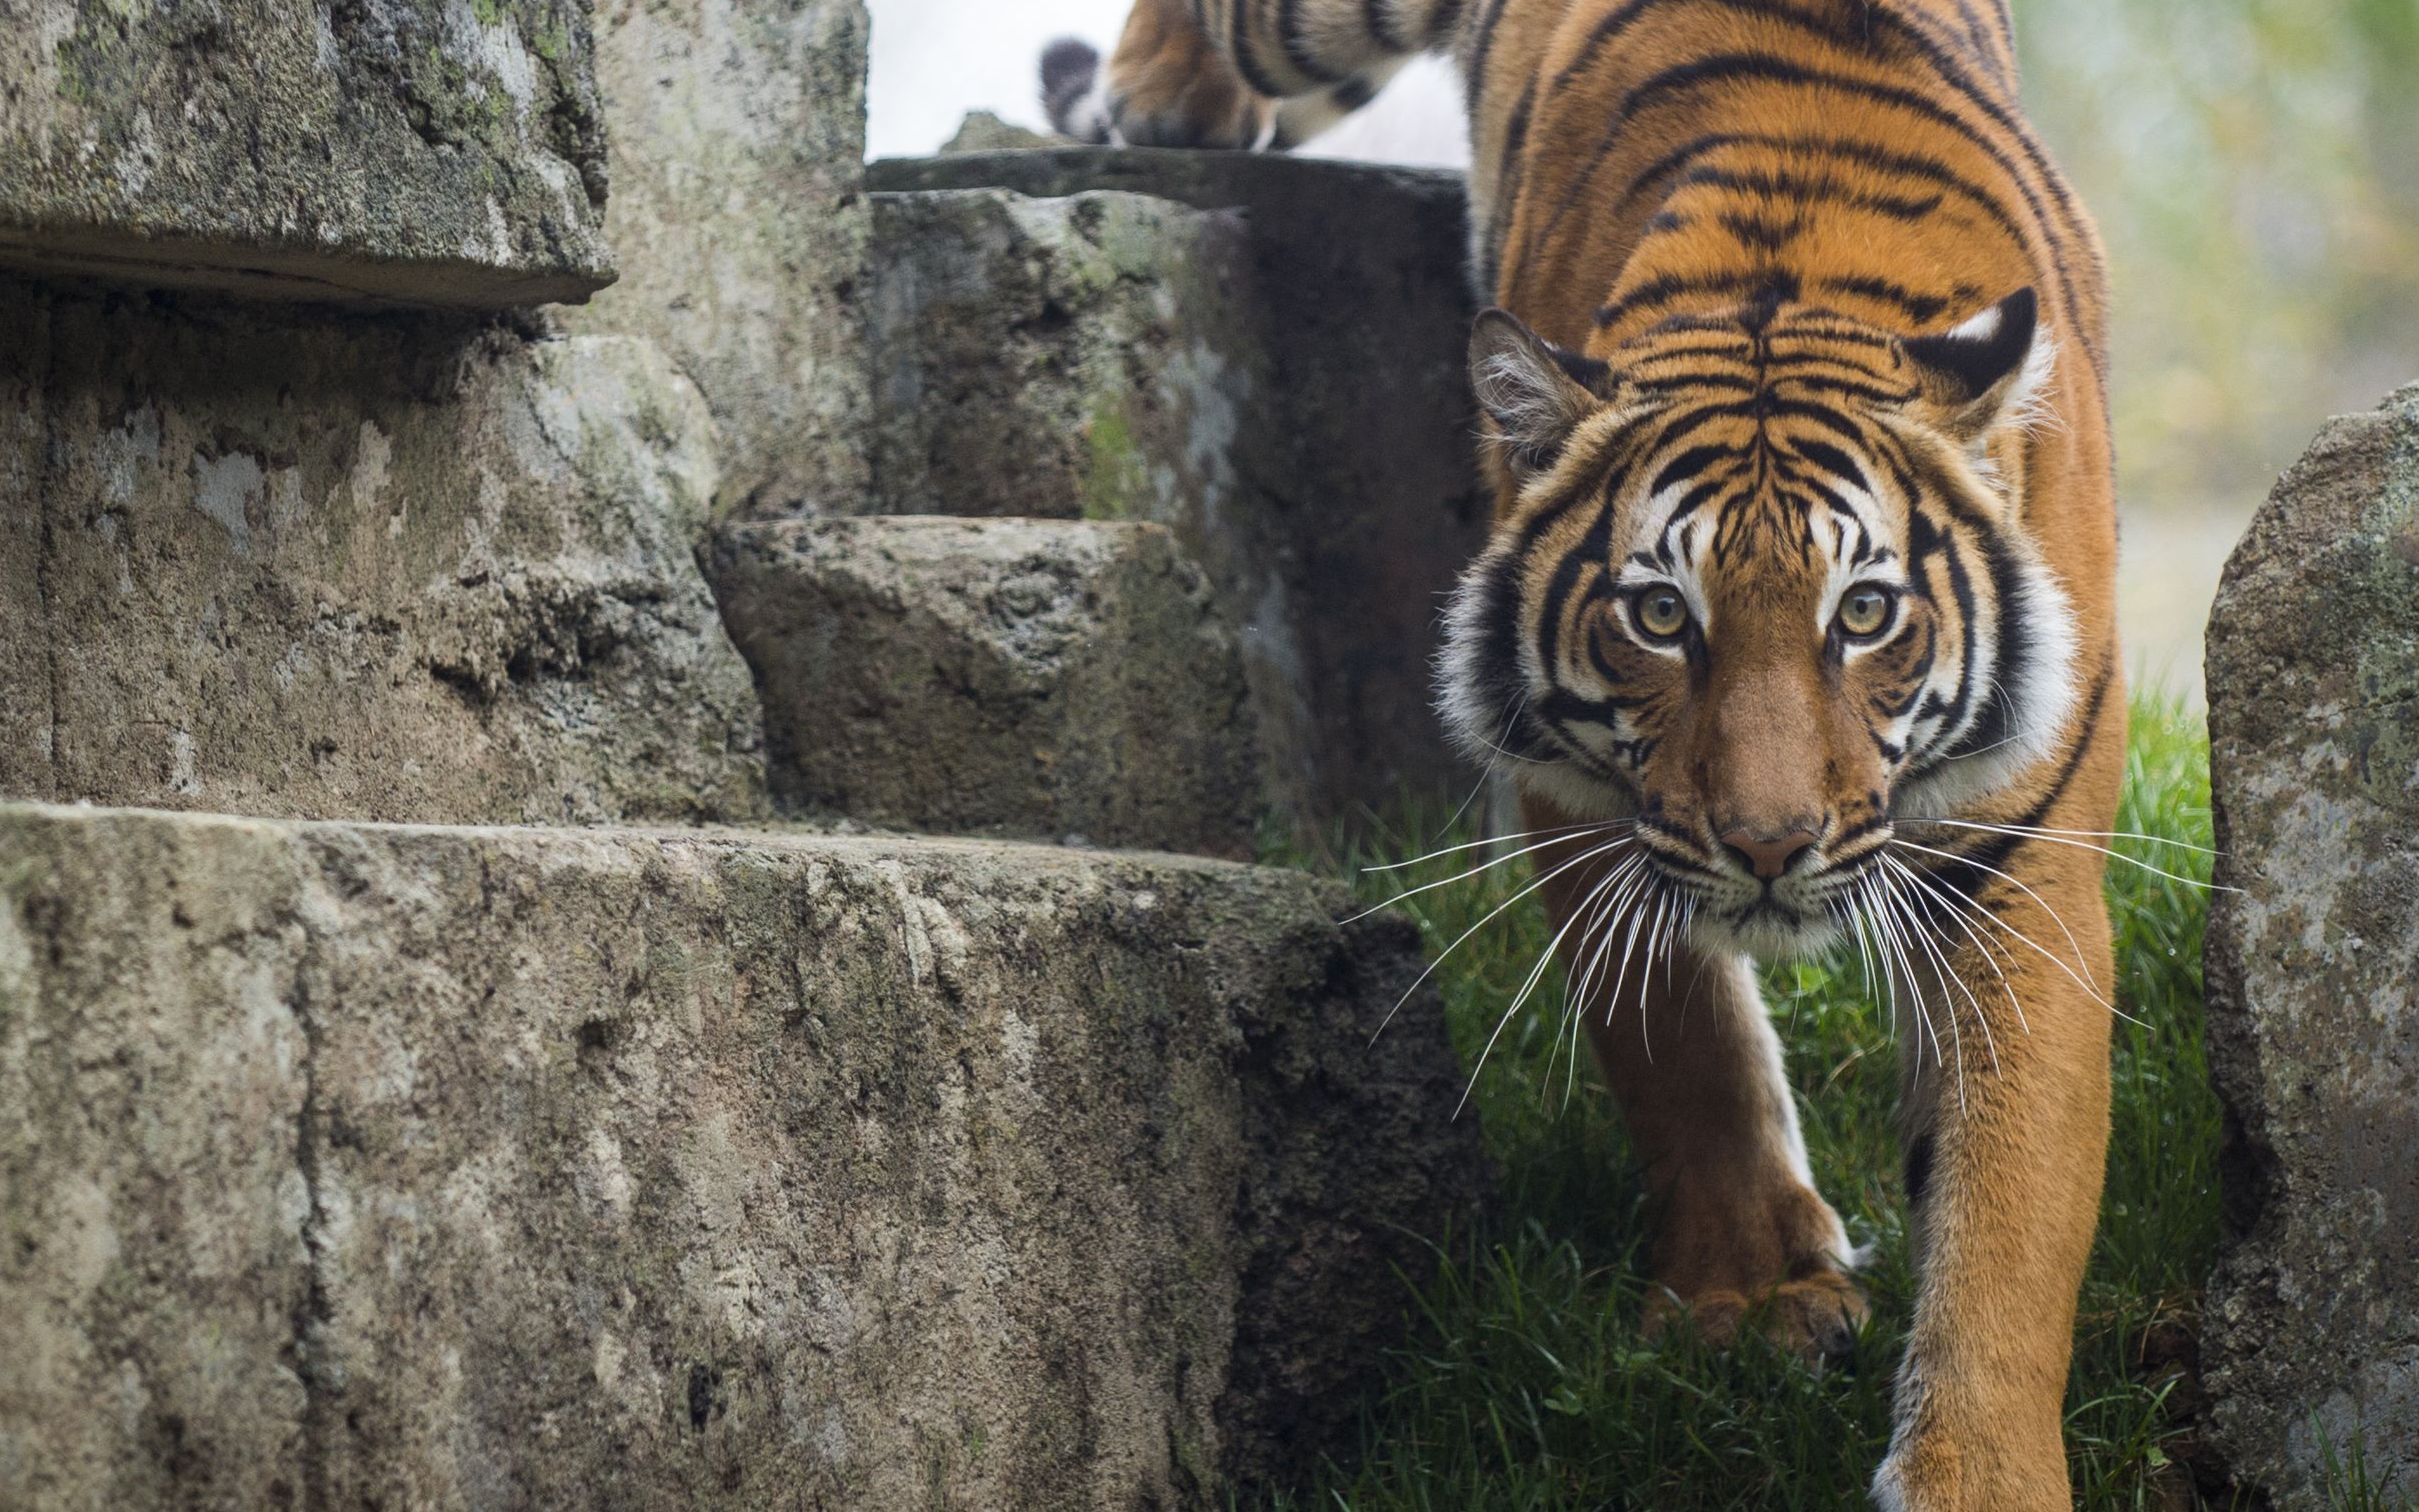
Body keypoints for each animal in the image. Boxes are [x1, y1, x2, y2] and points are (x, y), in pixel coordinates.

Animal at [1040, 0, 2119, 1499]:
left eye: (1863, 615)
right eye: (1659, 616)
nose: (1770, 848)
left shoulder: (2024, 862)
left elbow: (2007, 1200)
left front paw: (1977, 1470)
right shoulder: (1582, 796)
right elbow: (1685, 1050)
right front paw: (1751, 1302)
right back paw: (1165, 93)